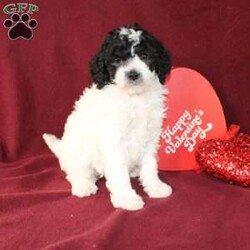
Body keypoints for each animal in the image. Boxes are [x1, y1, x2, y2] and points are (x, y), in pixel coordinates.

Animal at [43, 24, 172, 210]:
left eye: (145, 56)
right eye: (117, 59)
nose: (133, 74)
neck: (133, 97)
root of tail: (63, 151)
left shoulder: (150, 136)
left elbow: (150, 164)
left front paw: (155, 186)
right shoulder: (114, 142)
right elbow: (119, 173)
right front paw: (126, 198)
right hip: (78, 150)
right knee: (76, 171)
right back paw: (83, 185)